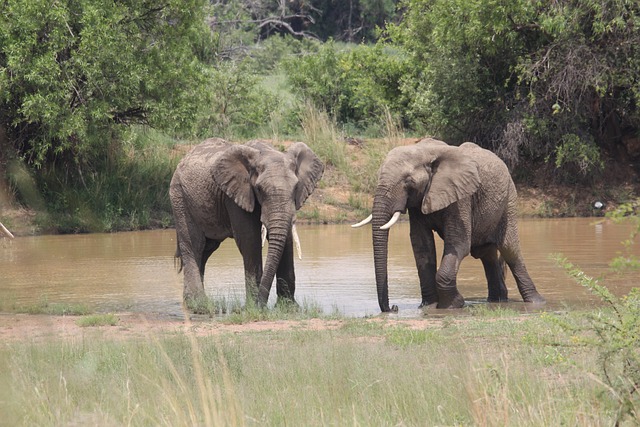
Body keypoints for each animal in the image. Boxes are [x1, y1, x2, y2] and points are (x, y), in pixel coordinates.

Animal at [169, 139, 322, 310]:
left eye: (296, 188)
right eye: (259, 189)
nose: (262, 305)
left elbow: (287, 240)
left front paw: (290, 309)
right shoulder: (236, 194)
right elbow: (250, 239)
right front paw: (253, 308)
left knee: (207, 249)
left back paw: (195, 303)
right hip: (179, 197)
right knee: (194, 245)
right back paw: (198, 306)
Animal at [356, 139, 544, 312]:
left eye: (409, 181)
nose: (394, 307)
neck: (424, 150)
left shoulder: (461, 197)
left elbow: (459, 244)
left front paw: (453, 305)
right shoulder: (418, 202)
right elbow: (422, 246)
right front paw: (428, 306)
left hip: (509, 198)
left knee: (509, 250)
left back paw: (536, 302)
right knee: (487, 253)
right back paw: (497, 301)